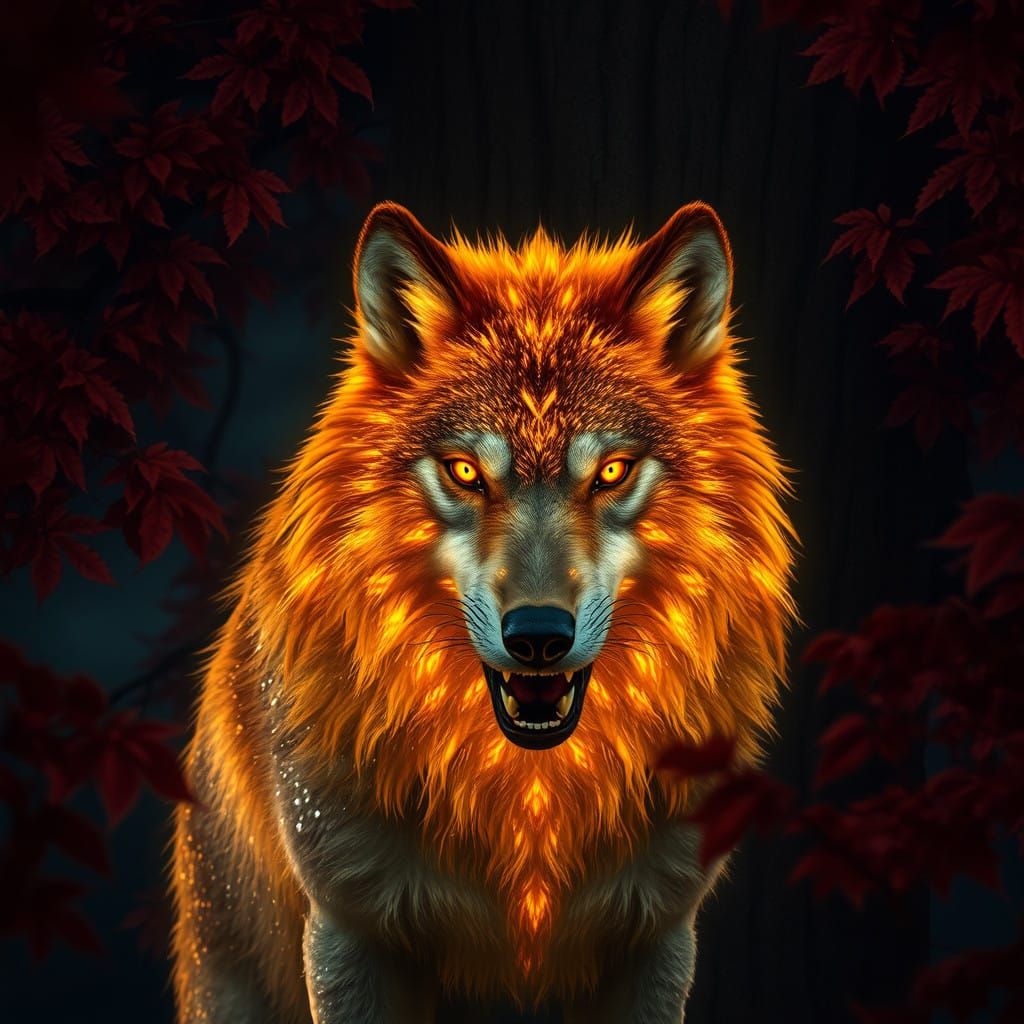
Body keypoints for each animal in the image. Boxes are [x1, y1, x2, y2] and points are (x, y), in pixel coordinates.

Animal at [170, 201, 796, 1023]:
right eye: (466, 471)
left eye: (612, 471)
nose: (537, 637)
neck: (525, 796)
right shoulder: (351, 930)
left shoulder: (656, 934)